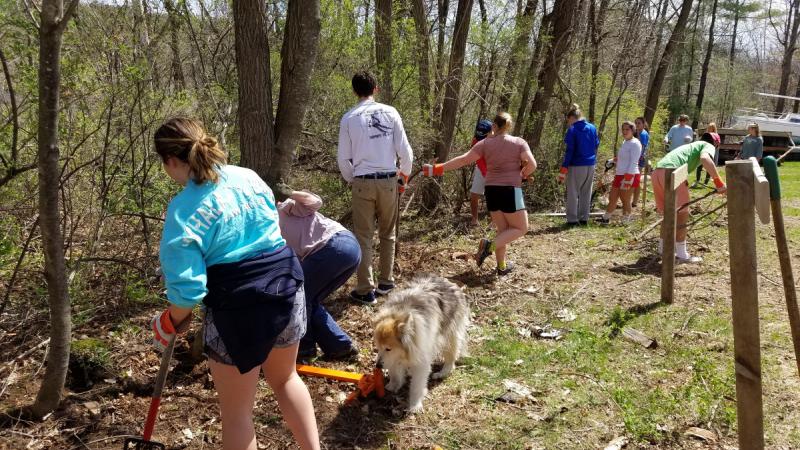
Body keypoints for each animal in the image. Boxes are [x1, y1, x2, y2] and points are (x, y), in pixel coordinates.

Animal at [374, 274, 468, 412]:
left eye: (388, 349)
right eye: (378, 348)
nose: (378, 366)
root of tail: (450, 283)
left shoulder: (420, 361)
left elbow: (416, 385)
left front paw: (415, 405)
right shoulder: (395, 357)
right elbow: (395, 372)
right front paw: (394, 385)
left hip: (449, 334)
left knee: (451, 355)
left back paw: (443, 372)